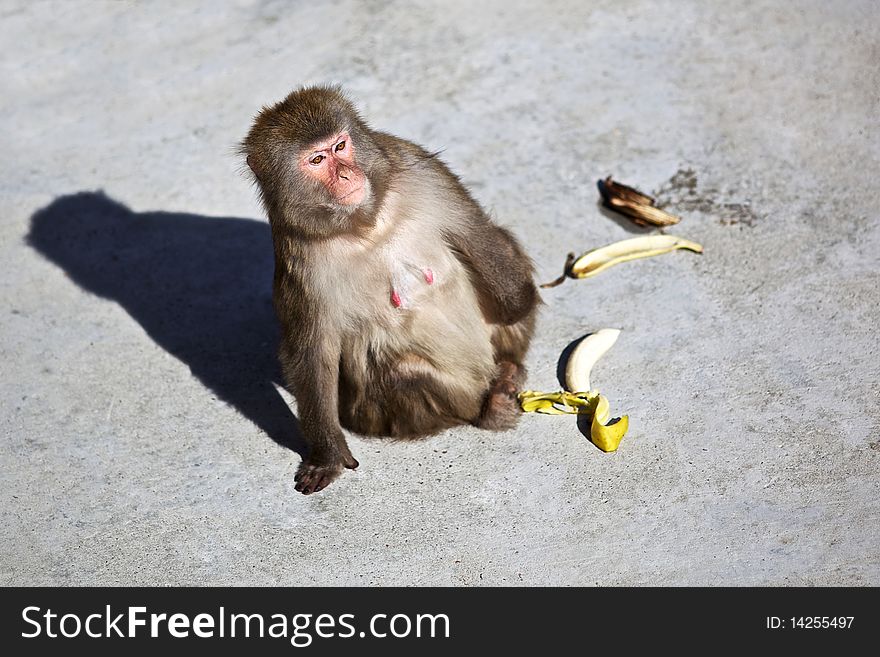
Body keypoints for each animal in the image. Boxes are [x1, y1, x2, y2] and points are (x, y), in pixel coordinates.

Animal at [244, 86, 540, 492]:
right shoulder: (301, 259)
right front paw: (328, 455)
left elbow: (479, 235)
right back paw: (490, 405)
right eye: (317, 160)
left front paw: (515, 299)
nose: (347, 174)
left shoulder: (421, 170)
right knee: (404, 373)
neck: (366, 224)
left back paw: (508, 372)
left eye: (340, 146)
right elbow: (312, 354)